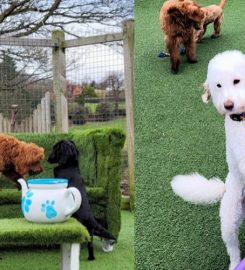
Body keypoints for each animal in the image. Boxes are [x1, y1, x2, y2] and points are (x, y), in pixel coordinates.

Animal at [171, 50, 245, 270]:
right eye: (218, 85)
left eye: (236, 80)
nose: (227, 106)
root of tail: (225, 188)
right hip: (229, 221)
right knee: (233, 249)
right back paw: (234, 264)